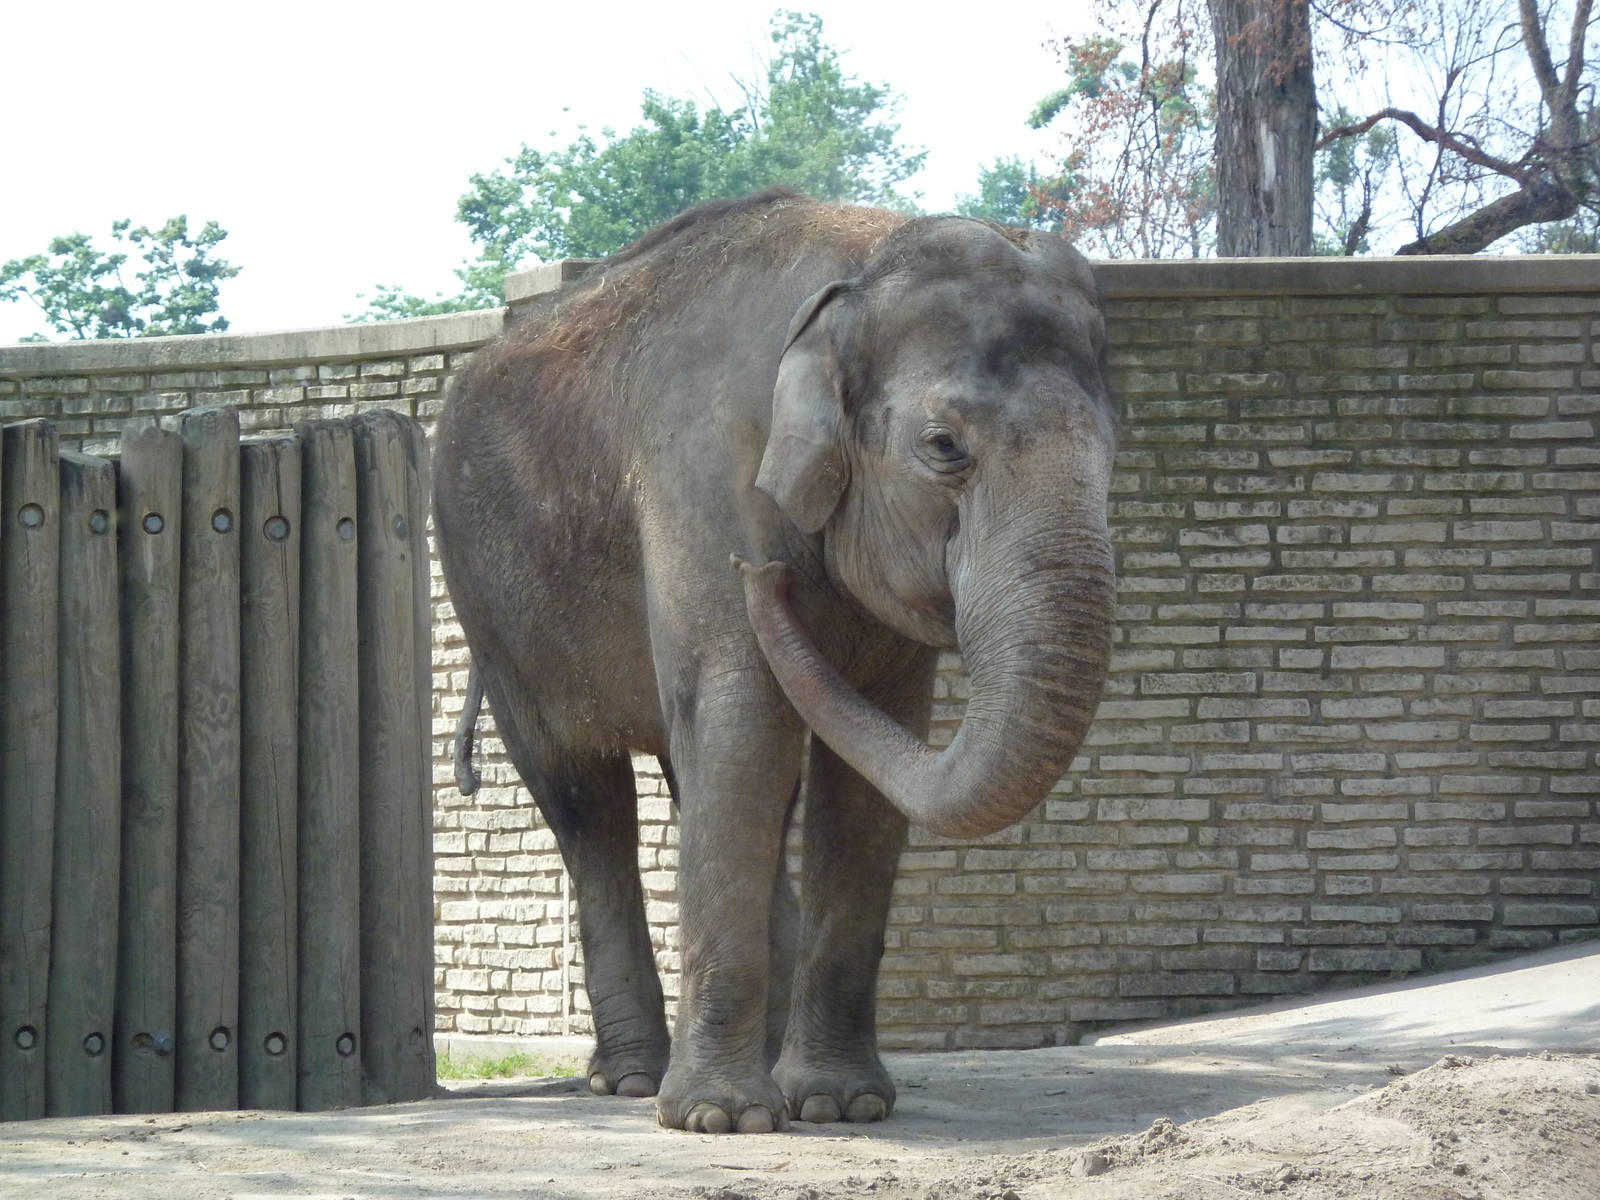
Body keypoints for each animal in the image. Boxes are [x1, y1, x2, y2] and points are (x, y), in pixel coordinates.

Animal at [434, 187, 1117, 1134]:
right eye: (945, 446)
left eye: (1113, 449)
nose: (763, 576)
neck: (858, 266)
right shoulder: (701, 479)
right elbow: (743, 722)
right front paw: (720, 1120)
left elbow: (864, 763)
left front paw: (839, 1104)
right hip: (494, 605)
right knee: (585, 798)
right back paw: (635, 1081)